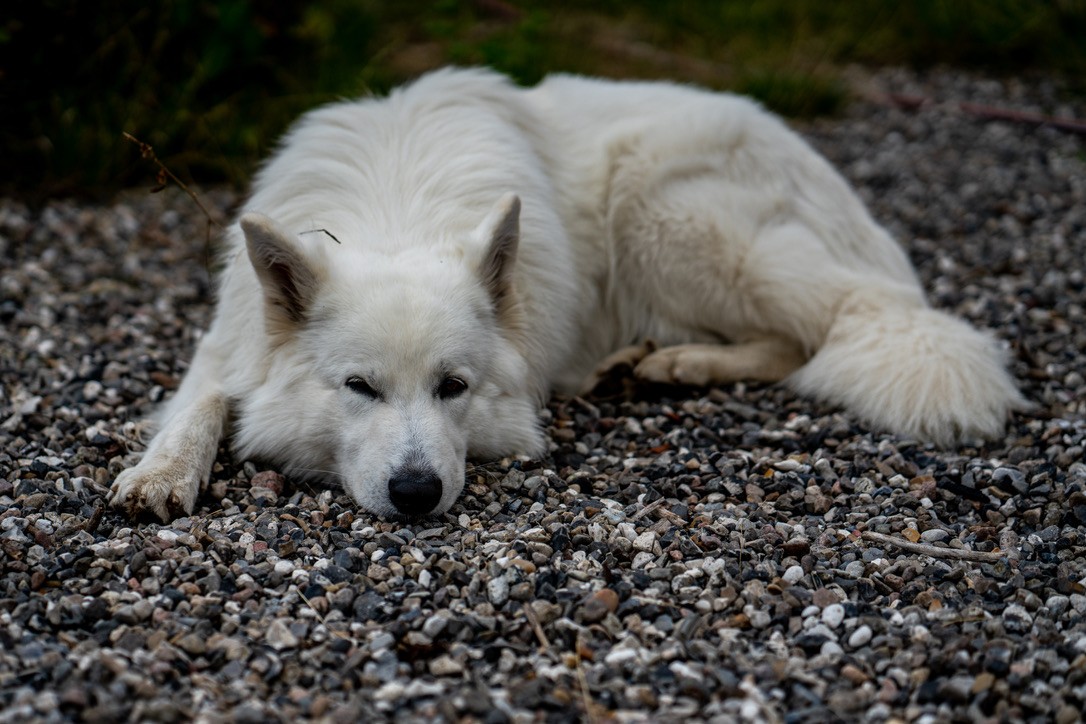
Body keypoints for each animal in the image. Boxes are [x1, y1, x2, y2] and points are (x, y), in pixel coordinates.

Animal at [108, 67, 1025, 521]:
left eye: (454, 387)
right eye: (358, 387)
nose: (417, 495)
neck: (396, 204)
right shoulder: (227, 343)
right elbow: (203, 403)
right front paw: (160, 474)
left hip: (664, 215)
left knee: (822, 329)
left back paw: (678, 364)